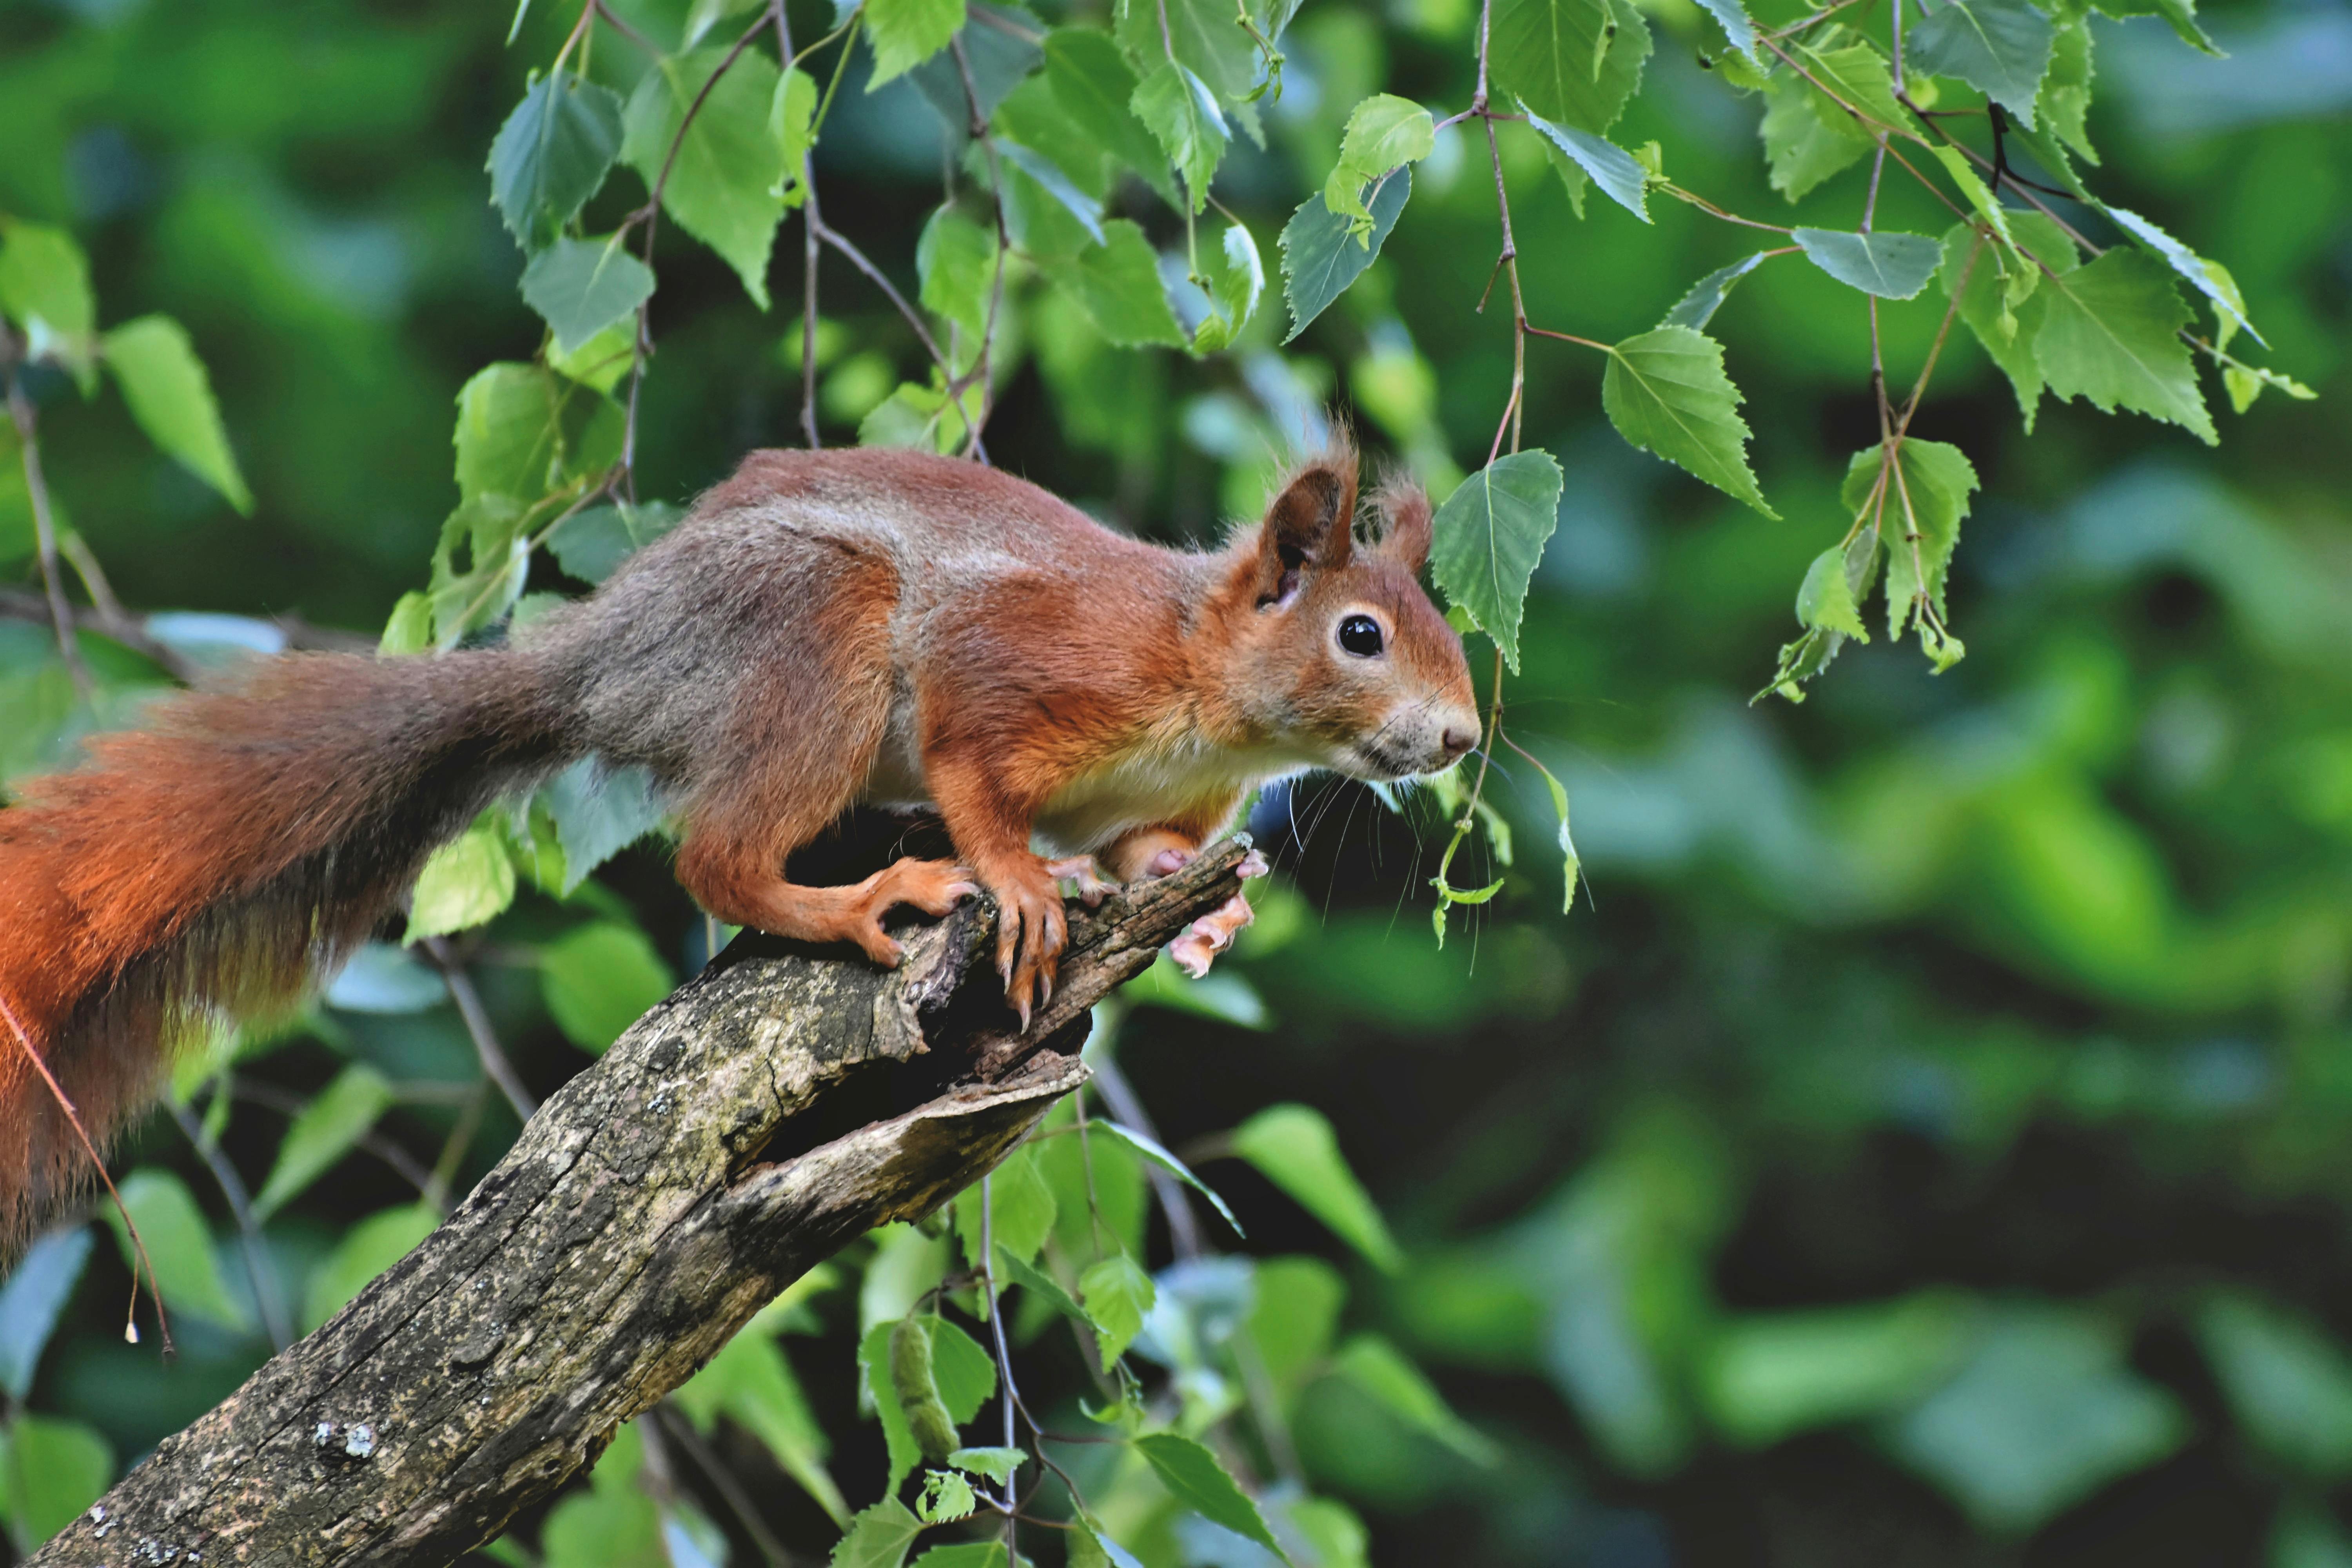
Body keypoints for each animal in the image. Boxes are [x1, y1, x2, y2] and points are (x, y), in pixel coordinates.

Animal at [0, 442, 1468, 1241]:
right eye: (1359, 634)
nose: (1459, 737)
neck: (1203, 690)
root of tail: (611, 659)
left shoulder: (1160, 799)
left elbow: (1143, 854)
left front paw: (1201, 906)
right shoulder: (1015, 663)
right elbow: (976, 771)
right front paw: (1017, 881)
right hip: (811, 636)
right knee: (716, 859)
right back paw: (860, 901)